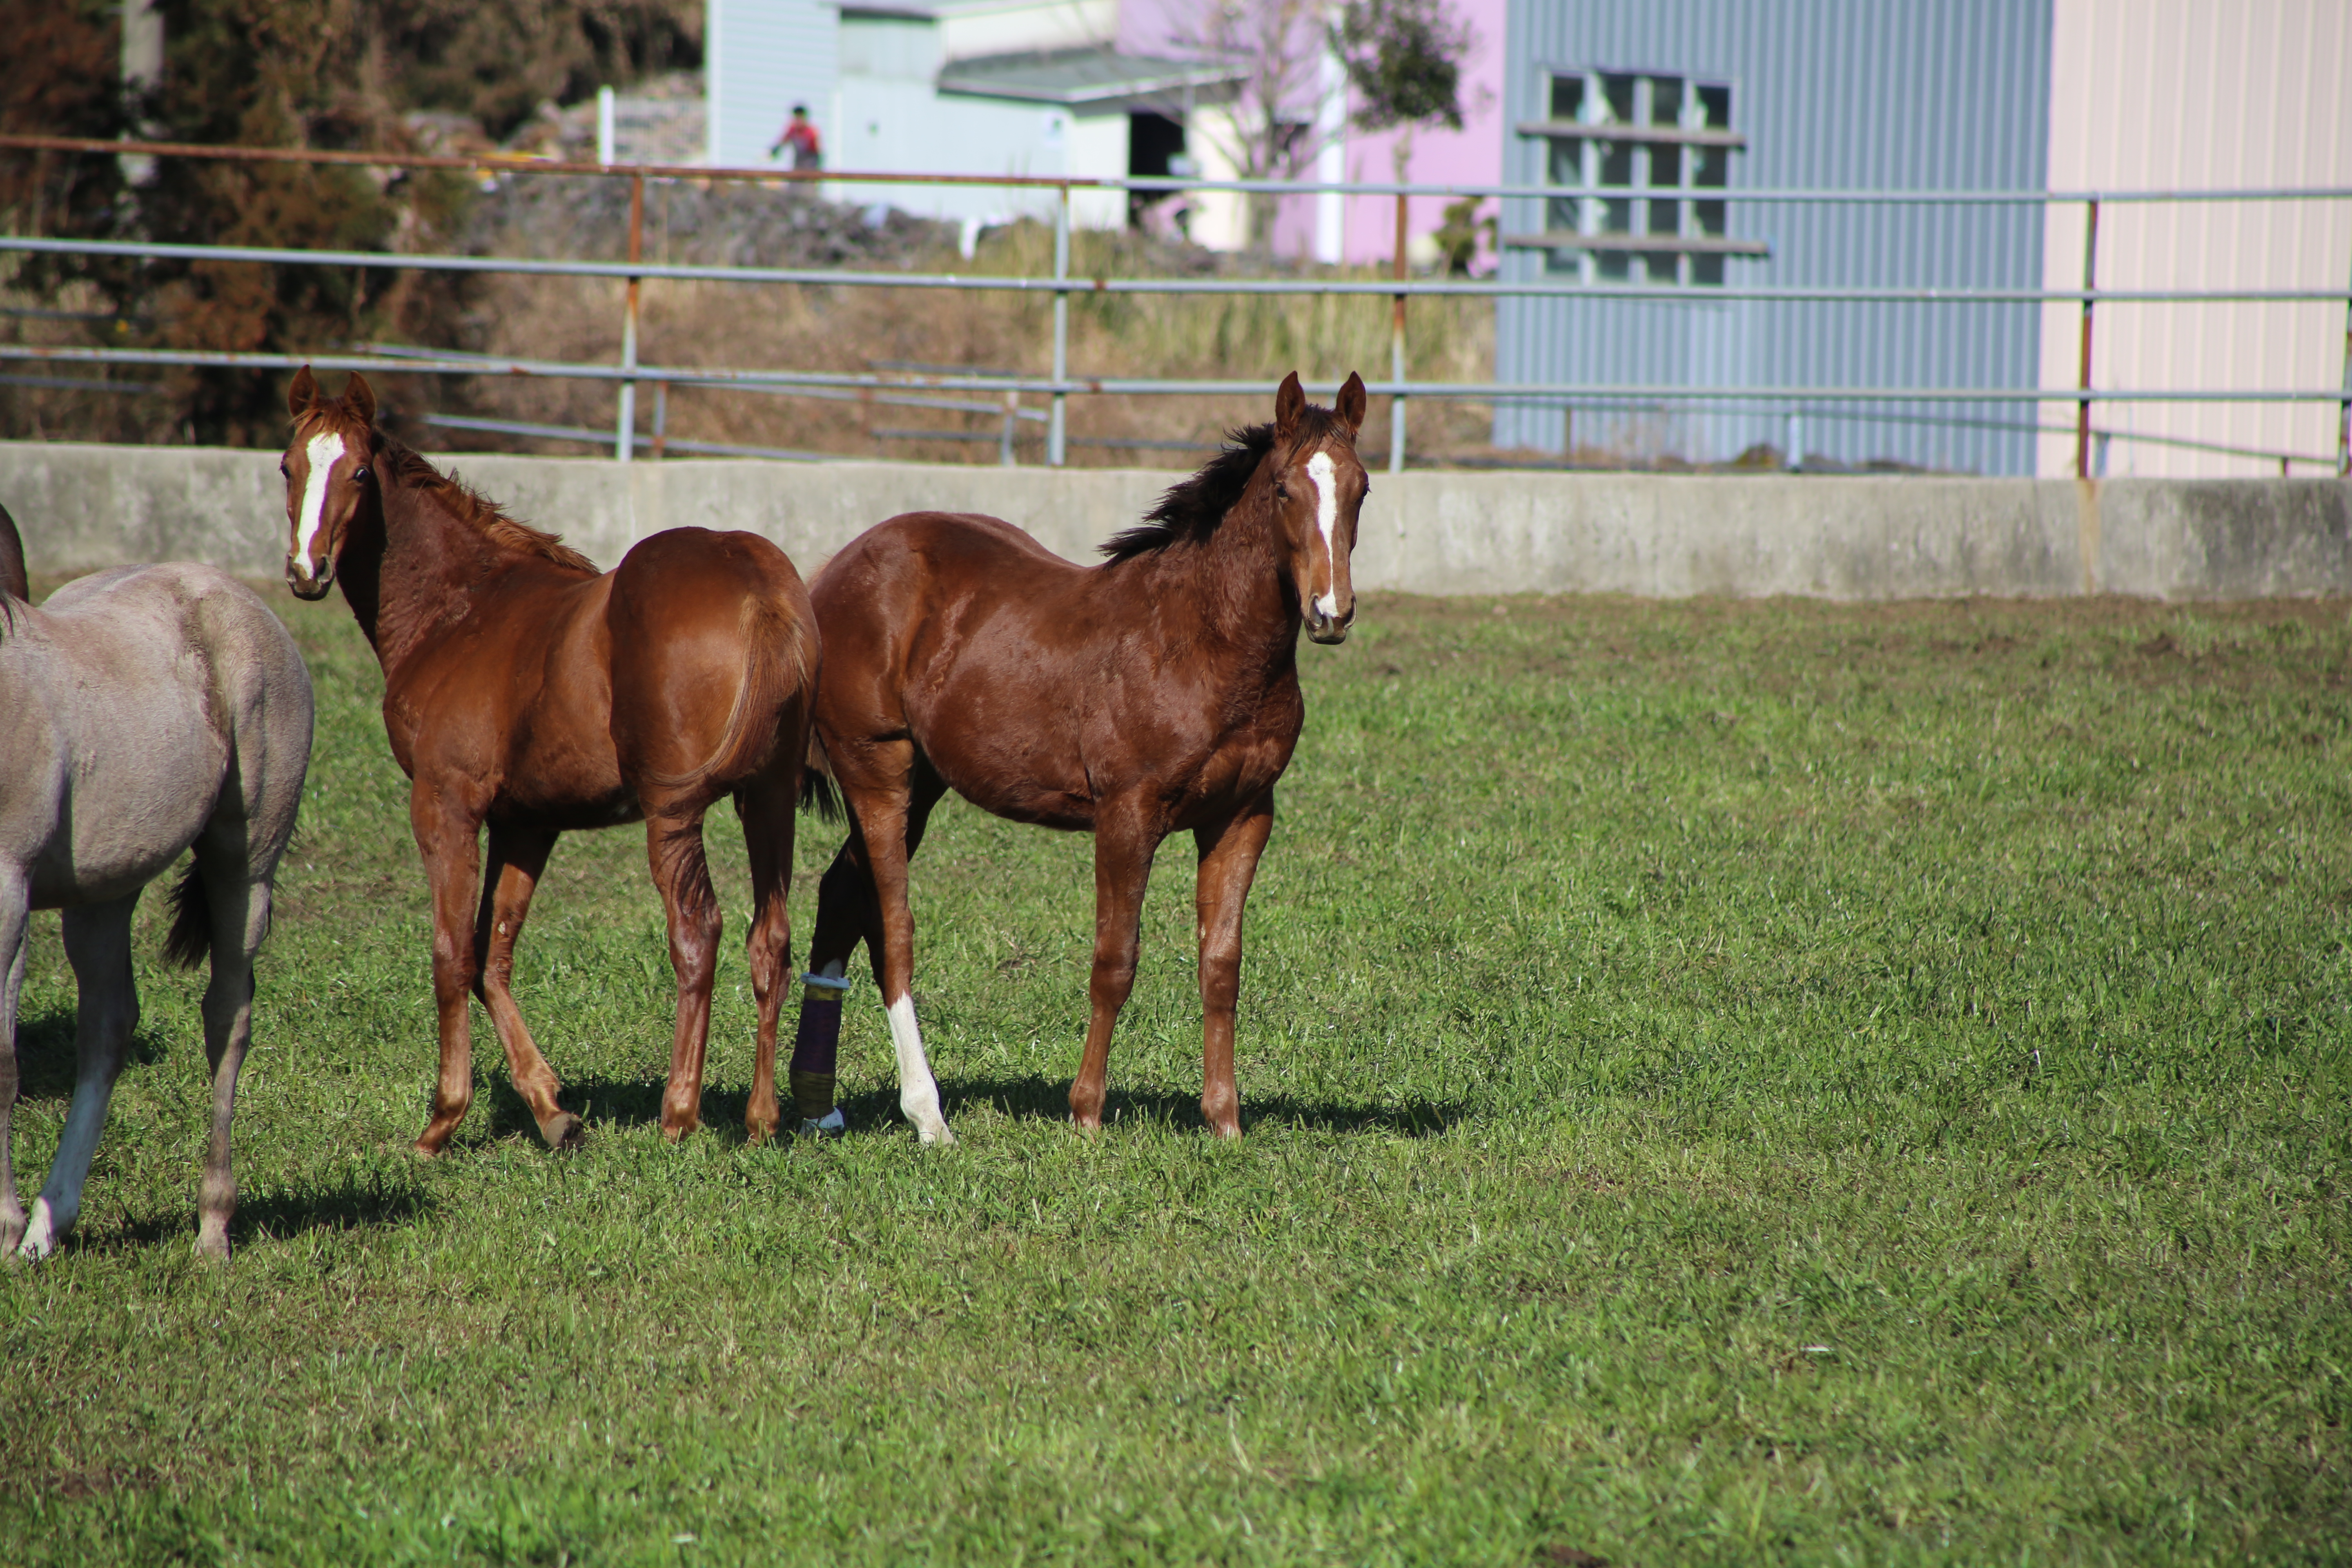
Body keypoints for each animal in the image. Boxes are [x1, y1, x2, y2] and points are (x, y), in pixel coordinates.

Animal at [0, 503, 313, 1260]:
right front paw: (18, 1230)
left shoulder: (8, 892)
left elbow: (2, 1065)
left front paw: (4, 1228)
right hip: (105, 892)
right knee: (106, 1029)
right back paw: (50, 1227)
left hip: (245, 868)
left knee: (227, 1018)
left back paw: (212, 1227)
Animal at [278, 369, 818, 1152]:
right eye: (288, 467)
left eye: (356, 473)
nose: (306, 571)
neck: (460, 612)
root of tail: (760, 586)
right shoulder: (527, 824)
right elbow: (492, 954)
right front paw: (552, 1109)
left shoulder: (445, 804)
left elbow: (451, 953)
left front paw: (442, 1120)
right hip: (769, 801)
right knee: (768, 939)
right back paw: (760, 1119)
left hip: (674, 813)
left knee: (698, 934)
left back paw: (678, 1116)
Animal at [790, 374, 1373, 1147]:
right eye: (1283, 489)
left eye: (1362, 487)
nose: (1330, 611)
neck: (1202, 640)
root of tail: (837, 569)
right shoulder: (1127, 814)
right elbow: (1114, 961)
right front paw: (1087, 1115)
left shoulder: (1244, 816)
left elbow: (1221, 964)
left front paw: (1225, 1121)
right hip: (878, 773)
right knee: (891, 926)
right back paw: (928, 1115)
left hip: (922, 786)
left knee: (839, 898)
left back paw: (816, 1105)